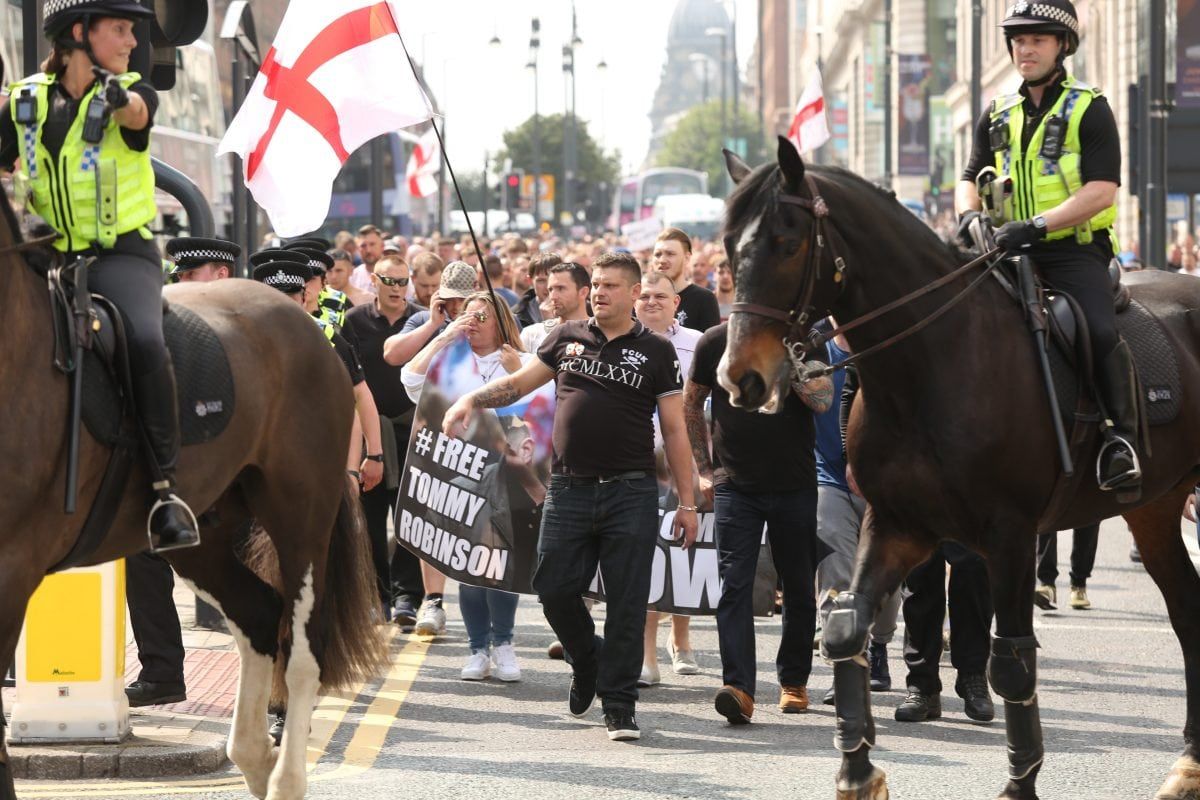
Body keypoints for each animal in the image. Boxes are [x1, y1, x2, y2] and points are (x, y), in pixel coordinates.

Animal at [0, 196, 381, 796]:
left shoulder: (13, 569)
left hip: (301, 516)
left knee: (302, 649)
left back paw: (285, 775)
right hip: (205, 536)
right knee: (258, 614)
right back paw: (253, 754)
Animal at [715, 139, 1200, 800]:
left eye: (787, 243)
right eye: (727, 245)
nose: (740, 377)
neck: (933, 362)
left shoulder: (1012, 536)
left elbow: (1011, 662)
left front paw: (1020, 782)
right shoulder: (897, 526)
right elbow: (846, 630)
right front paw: (858, 770)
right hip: (1155, 508)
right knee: (1189, 613)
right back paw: (1189, 762)